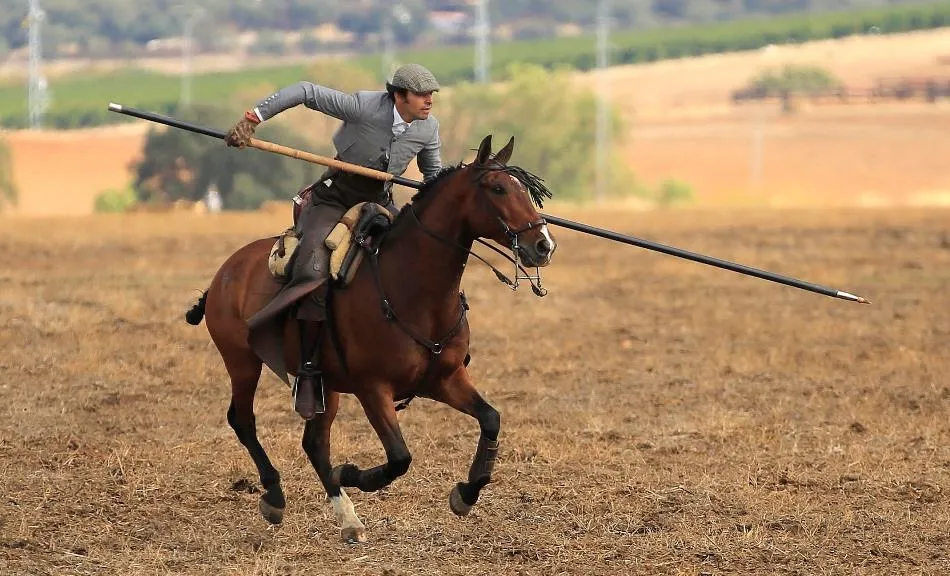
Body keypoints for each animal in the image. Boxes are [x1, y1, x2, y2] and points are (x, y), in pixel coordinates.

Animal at [183, 135, 558, 543]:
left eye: (525, 190)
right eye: (498, 188)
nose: (544, 245)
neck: (410, 289)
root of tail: (226, 272)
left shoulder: (445, 380)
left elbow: (490, 418)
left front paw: (466, 493)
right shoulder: (373, 388)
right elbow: (399, 458)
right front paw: (351, 473)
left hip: (322, 385)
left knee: (314, 442)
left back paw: (348, 518)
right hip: (242, 361)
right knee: (243, 420)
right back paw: (275, 495)